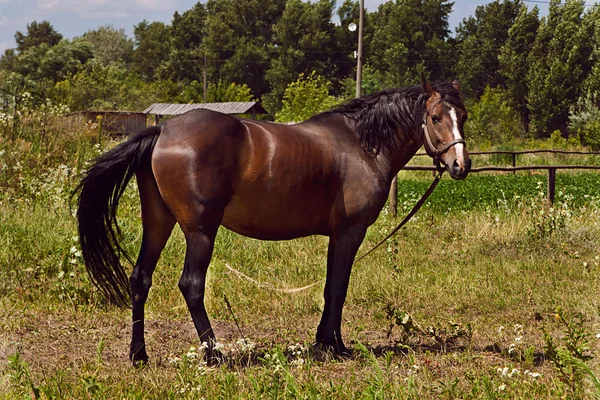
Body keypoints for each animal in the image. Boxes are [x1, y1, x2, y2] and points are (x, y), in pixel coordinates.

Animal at [75, 78, 472, 366]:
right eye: (436, 117)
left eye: (463, 117)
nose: (460, 165)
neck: (360, 144)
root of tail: (163, 132)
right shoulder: (350, 233)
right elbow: (339, 288)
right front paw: (337, 346)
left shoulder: (336, 236)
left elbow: (329, 288)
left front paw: (323, 342)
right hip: (200, 231)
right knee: (191, 285)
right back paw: (215, 355)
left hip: (159, 223)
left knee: (140, 279)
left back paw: (139, 355)